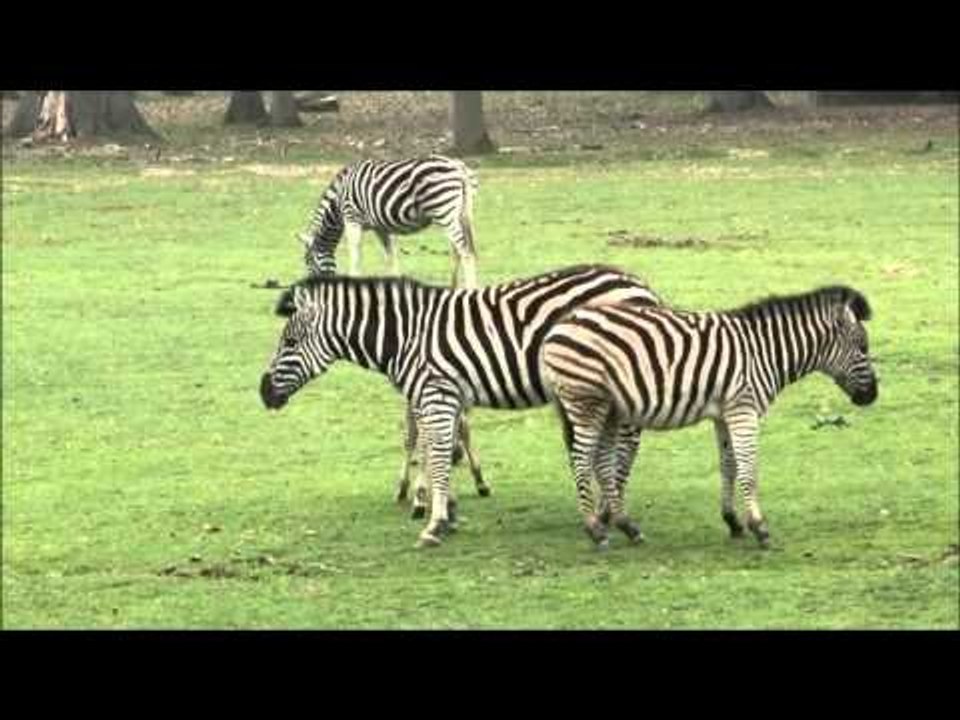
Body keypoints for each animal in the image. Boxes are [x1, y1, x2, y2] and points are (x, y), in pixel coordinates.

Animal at [259, 265, 662, 547]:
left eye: (290, 343)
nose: (264, 393)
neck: (406, 336)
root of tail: (640, 284)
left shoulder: (435, 393)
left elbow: (436, 454)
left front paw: (434, 523)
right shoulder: (442, 396)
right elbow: (439, 451)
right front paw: (446, 510)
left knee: (626, 446)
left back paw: (610, 513)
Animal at [298, 154, 480, 288]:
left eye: (308, 262)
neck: (337, 201)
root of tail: (458, 165)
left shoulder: (352, 218)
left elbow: (355, 256)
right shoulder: (380, 227)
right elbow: (391, 257)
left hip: (444, 211)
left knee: (466, 252)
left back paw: (470, 289)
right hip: (462, 214)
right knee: (459, 251)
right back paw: (453, 288)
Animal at [540, 285, 879, 549]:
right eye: (863, 347)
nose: (872, 395)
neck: (764, 352)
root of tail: (557, 329)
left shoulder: (725, 414)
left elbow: (729, 465)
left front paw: (733, 521)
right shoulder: (744, 409)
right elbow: (749, 467)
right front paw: (759, 527)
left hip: (608, 408)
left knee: (601, 461)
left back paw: (627, 526)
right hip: (586, 401)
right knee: (582, 459)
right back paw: (595, 530)